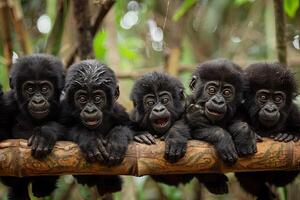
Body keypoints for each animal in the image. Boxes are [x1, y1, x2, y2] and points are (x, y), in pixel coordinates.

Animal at [61, 60, 133, 195]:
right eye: (82, 99)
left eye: (97, 98)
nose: (90, 110)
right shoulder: (64, 110)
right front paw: (90, 139)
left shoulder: (119, 112)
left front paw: (117, 139)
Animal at [236, 62, 298, 200]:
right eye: (263, 97)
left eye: (278, 99)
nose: (270, 109)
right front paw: (247, 134)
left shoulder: (294, 111)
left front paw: (289, 134)